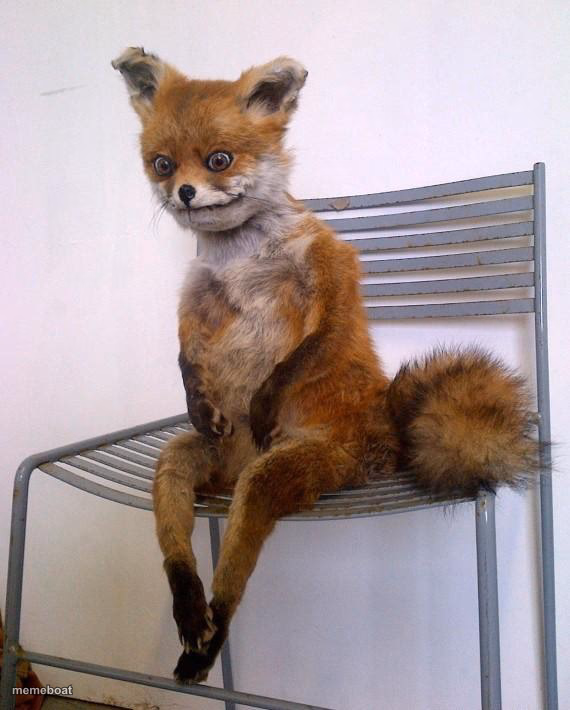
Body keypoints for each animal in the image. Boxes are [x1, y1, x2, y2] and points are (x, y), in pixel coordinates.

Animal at [112, 47, 539, 684]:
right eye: (162, 164)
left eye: (219, 160)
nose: (184, 193)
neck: (240, 261)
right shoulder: (196, 302)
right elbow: (185, 354)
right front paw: (196, 395)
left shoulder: (331, 278)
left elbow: (305, 353)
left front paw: (264, 397)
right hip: (183, 461)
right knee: (176, 538)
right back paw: (189, 614)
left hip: (280, 472)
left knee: (236, 567)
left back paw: (213, 629)